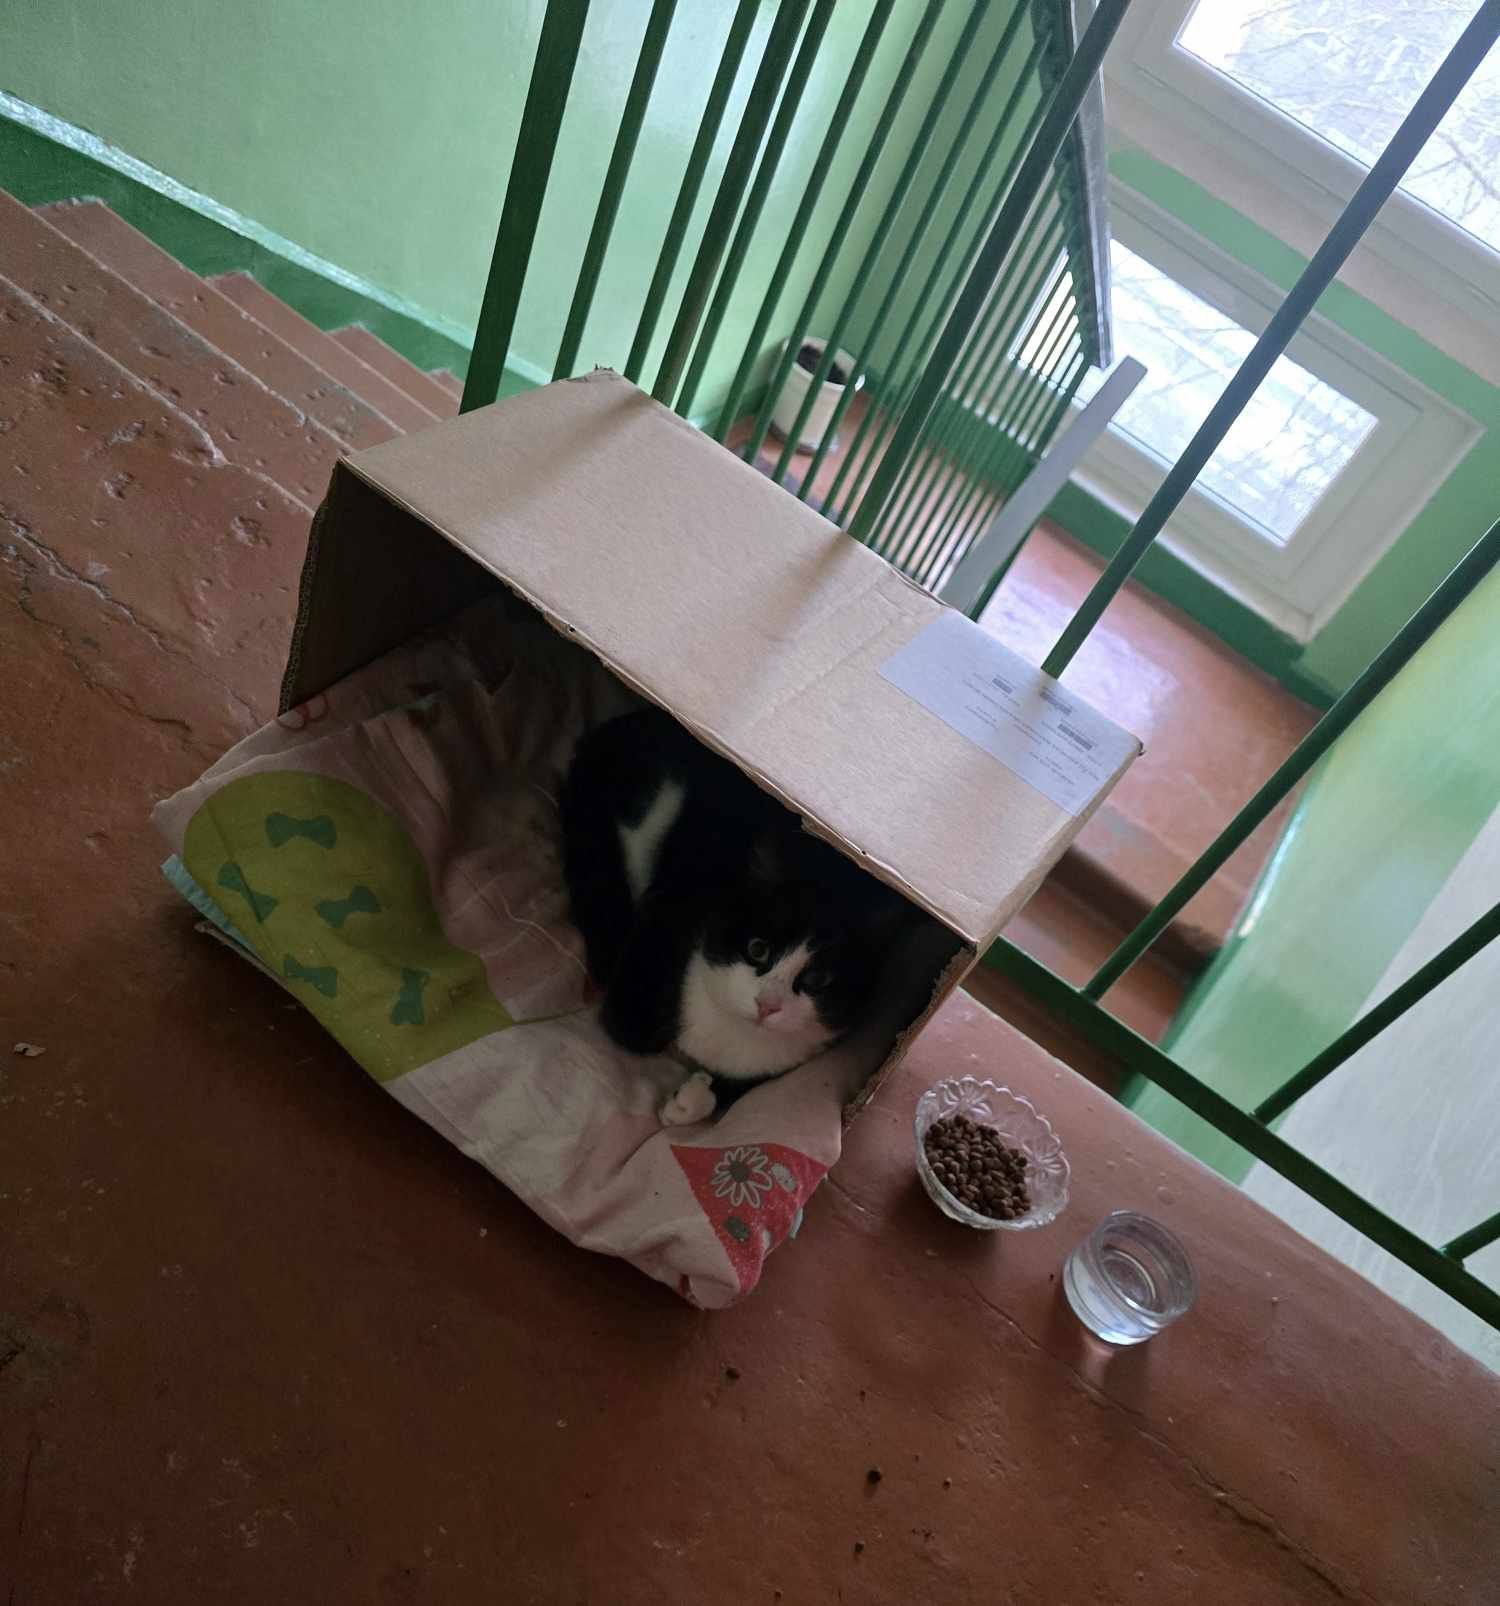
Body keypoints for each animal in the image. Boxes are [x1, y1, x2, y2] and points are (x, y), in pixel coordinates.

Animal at [559, 706, 908, 1126]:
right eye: (758, 948)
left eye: (817, 980)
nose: (767, 1005)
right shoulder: (669, 917)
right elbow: (631, 1026)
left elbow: (746, 1089)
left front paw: (691, 1100)